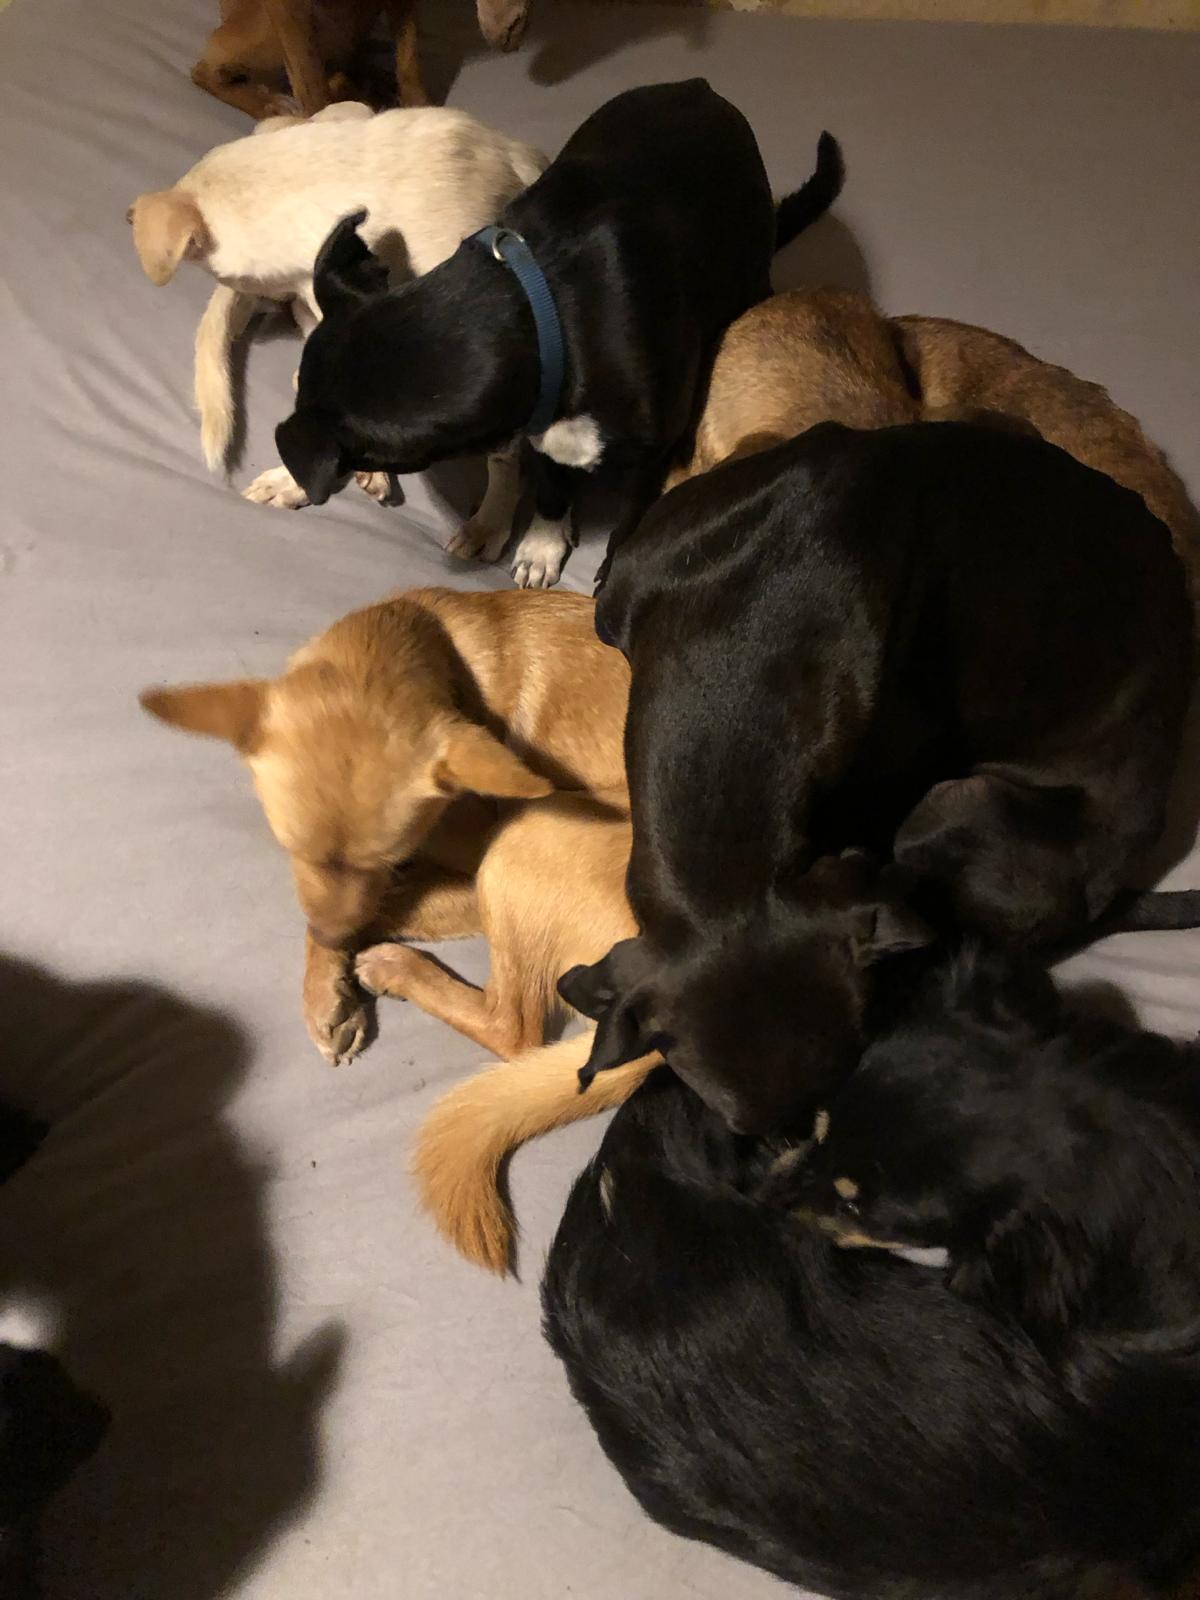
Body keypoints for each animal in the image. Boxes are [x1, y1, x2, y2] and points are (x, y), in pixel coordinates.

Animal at [139, 587, 630, 1067]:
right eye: (292, 850)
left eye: (391, 860)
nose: (332, 939)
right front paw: (327, 980)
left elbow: (382, 906)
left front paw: (323, 984)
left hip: (526, 836)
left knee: (514, 1032)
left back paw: (399, 969)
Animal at [274, 80, 844, 587]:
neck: (542, 311)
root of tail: (702, 89)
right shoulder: (539, 419)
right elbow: (551, 488)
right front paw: (544, 545)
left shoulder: (651, 456)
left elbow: (628, 522)